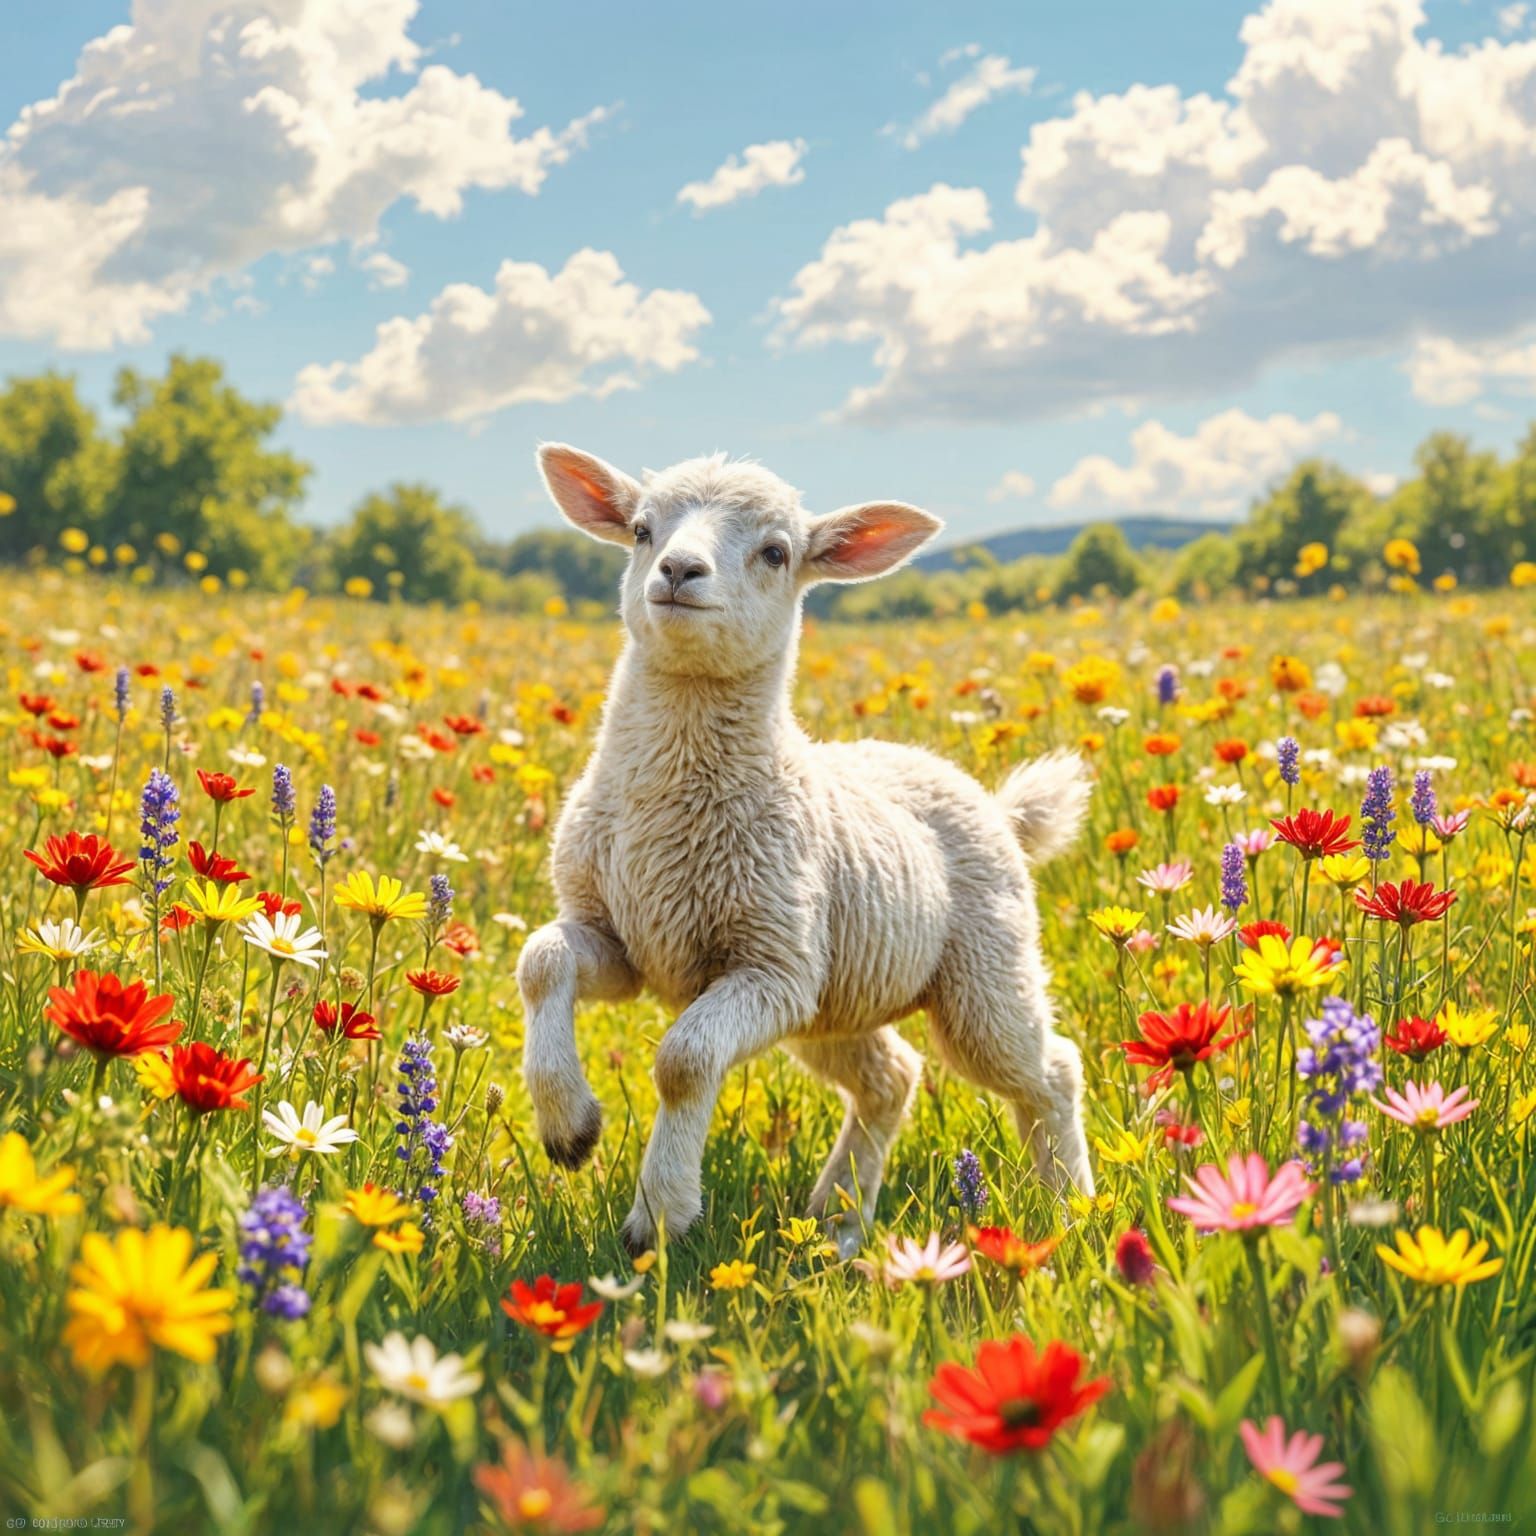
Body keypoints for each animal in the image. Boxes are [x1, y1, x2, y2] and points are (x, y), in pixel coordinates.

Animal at [518, 445, 1096, 1256]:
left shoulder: (773, 965)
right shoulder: (622, 936)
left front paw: (660, 1216)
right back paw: (840, 1221)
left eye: (776, 553)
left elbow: (684, 1062)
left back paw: (1072, 1207)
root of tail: (999, 809)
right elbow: (542, 961)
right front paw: (569, 1127)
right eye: (639, 529)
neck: (664, 818)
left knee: (1049, 1071)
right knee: (892, 1076)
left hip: (981, 972)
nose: (678, 570)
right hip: (838, 1000)